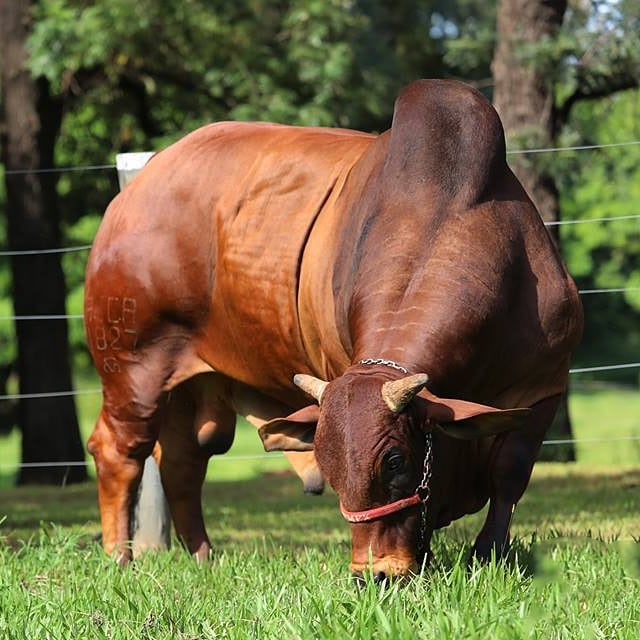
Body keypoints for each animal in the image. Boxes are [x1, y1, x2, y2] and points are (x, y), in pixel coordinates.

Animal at [82, 79, 584, 576]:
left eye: (395, 461)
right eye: (329, 463)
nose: (373, 573)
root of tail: (135, 191)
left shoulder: (545, 387)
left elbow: (509, 473)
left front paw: (489, 553)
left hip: (194, 387)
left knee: (183, 460)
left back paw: (204, 557)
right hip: (132, 367)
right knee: (119, 451)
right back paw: (119, 555)